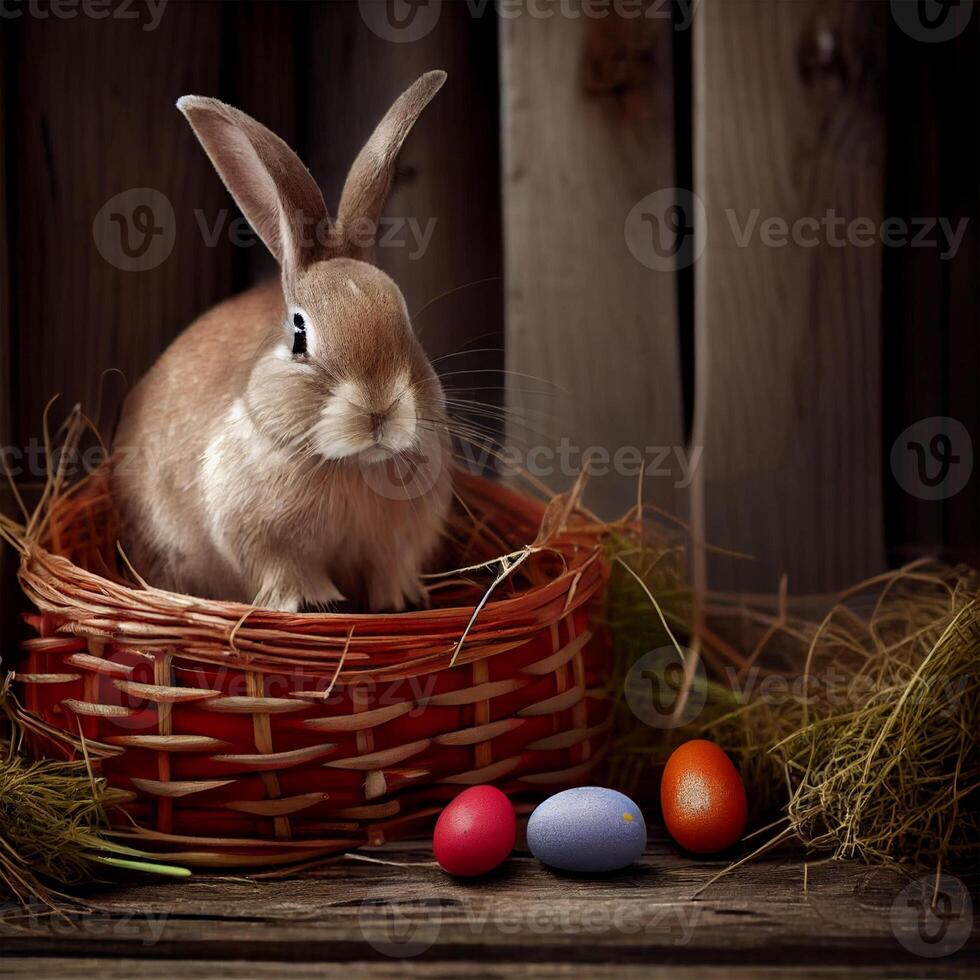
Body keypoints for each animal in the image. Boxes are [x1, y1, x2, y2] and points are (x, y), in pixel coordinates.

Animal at [114, 71, 452, 612]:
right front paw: (315, 604)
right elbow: (289, 572)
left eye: (407, 325)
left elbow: (388, 570)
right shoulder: (266, 543)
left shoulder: (395, 546)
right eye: (299, 335)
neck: (347, 463)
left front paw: (397, 602)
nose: (379, 411)